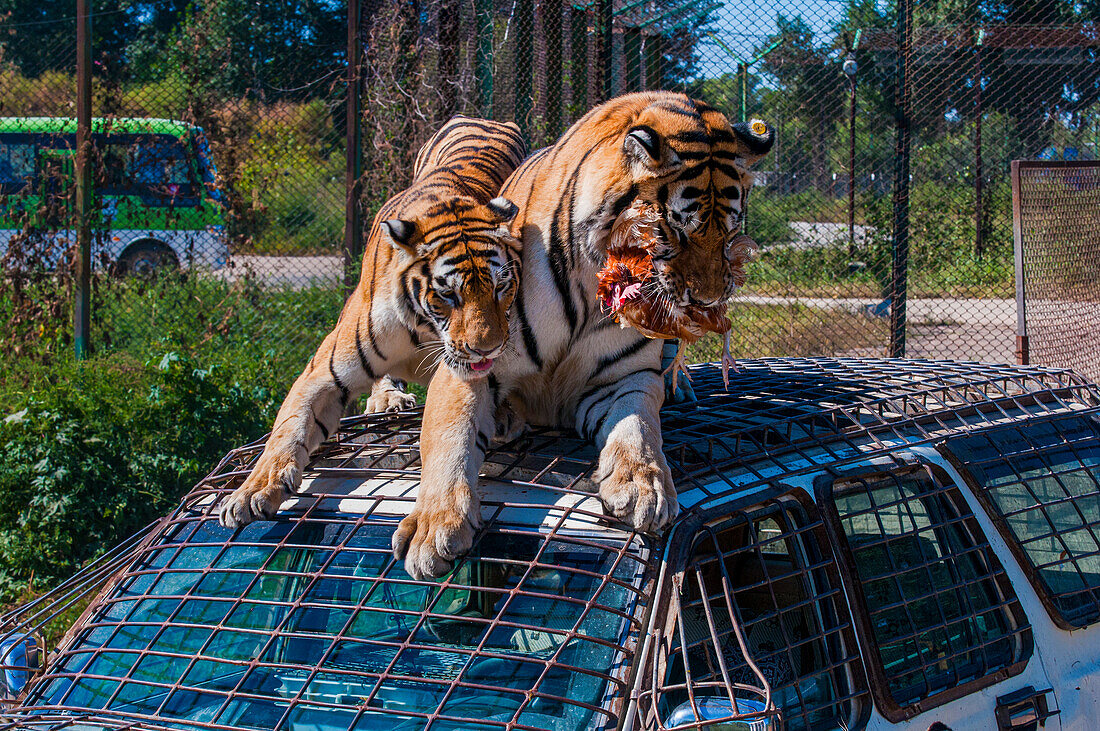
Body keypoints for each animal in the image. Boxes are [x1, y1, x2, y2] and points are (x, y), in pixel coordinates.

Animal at [218, 112, 528, 525]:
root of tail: (479, 117)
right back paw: (388, 398)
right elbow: (287, 429)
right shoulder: (322, 373)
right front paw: (249, 492)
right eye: (448, 294)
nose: (487, 349)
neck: (424, 330)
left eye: (500, 287)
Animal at [393, 91, 774, 580]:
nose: (707, 300)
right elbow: (448, 439)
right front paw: (433, 526)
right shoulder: (469, 366)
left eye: (729, 232)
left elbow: (638, 426)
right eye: (675, 230)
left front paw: (643, 484)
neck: (592, 285)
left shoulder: (621, 378)